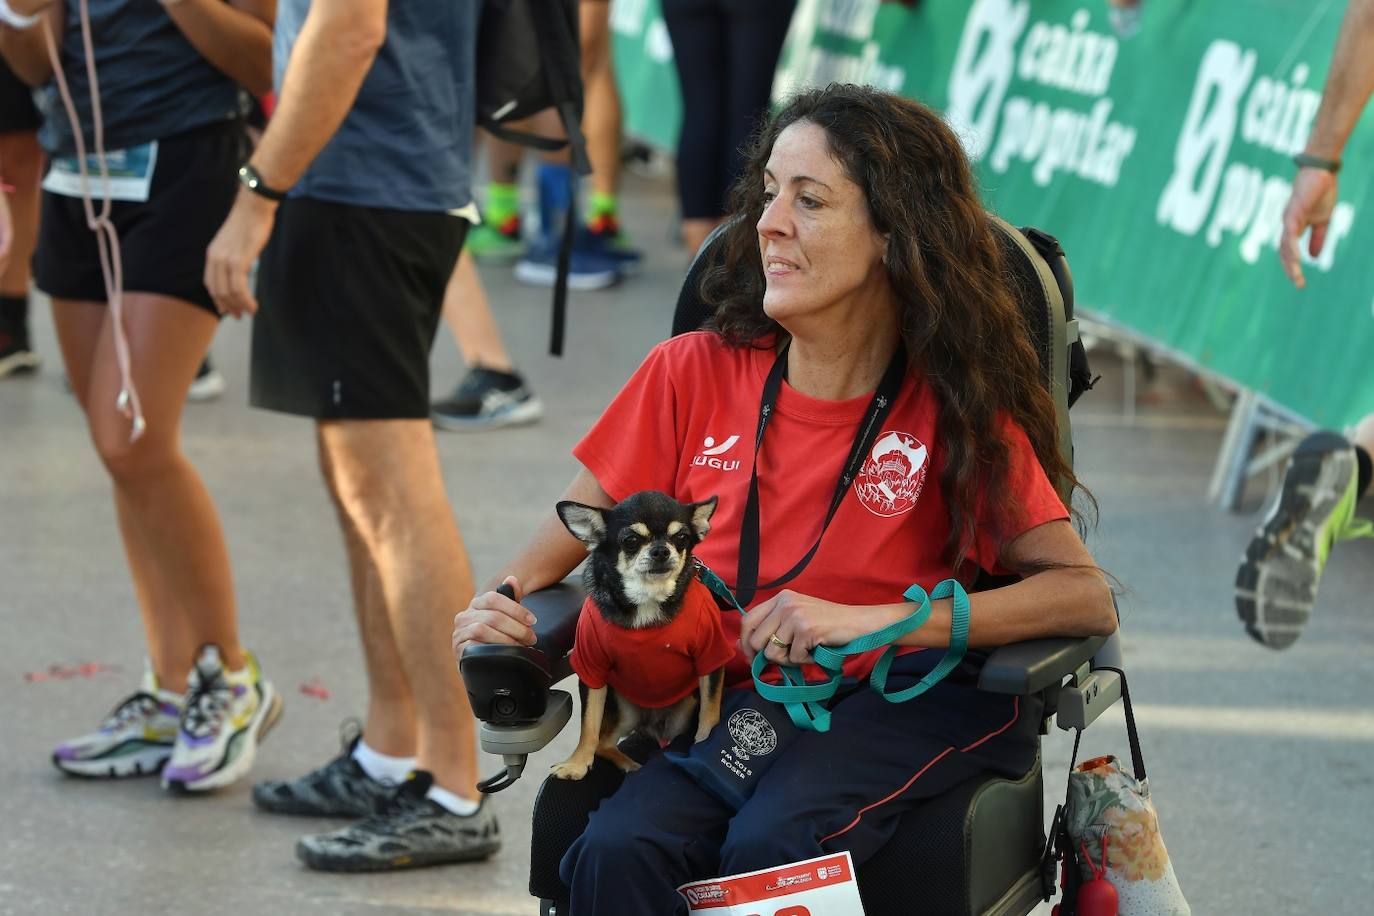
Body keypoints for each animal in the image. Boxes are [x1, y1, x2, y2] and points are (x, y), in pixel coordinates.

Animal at [552, 491, 736, 785]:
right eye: (630, 541)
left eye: (681, 537)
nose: (661, 550)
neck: (647, 599)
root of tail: (652, 727)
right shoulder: (592, 669)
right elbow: (589, 723)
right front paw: (577, 763)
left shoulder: (711, 659)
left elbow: (710, 712)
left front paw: (704, 743)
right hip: (625, 710)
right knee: (603, 743)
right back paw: (631, 765)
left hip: (683, 712)